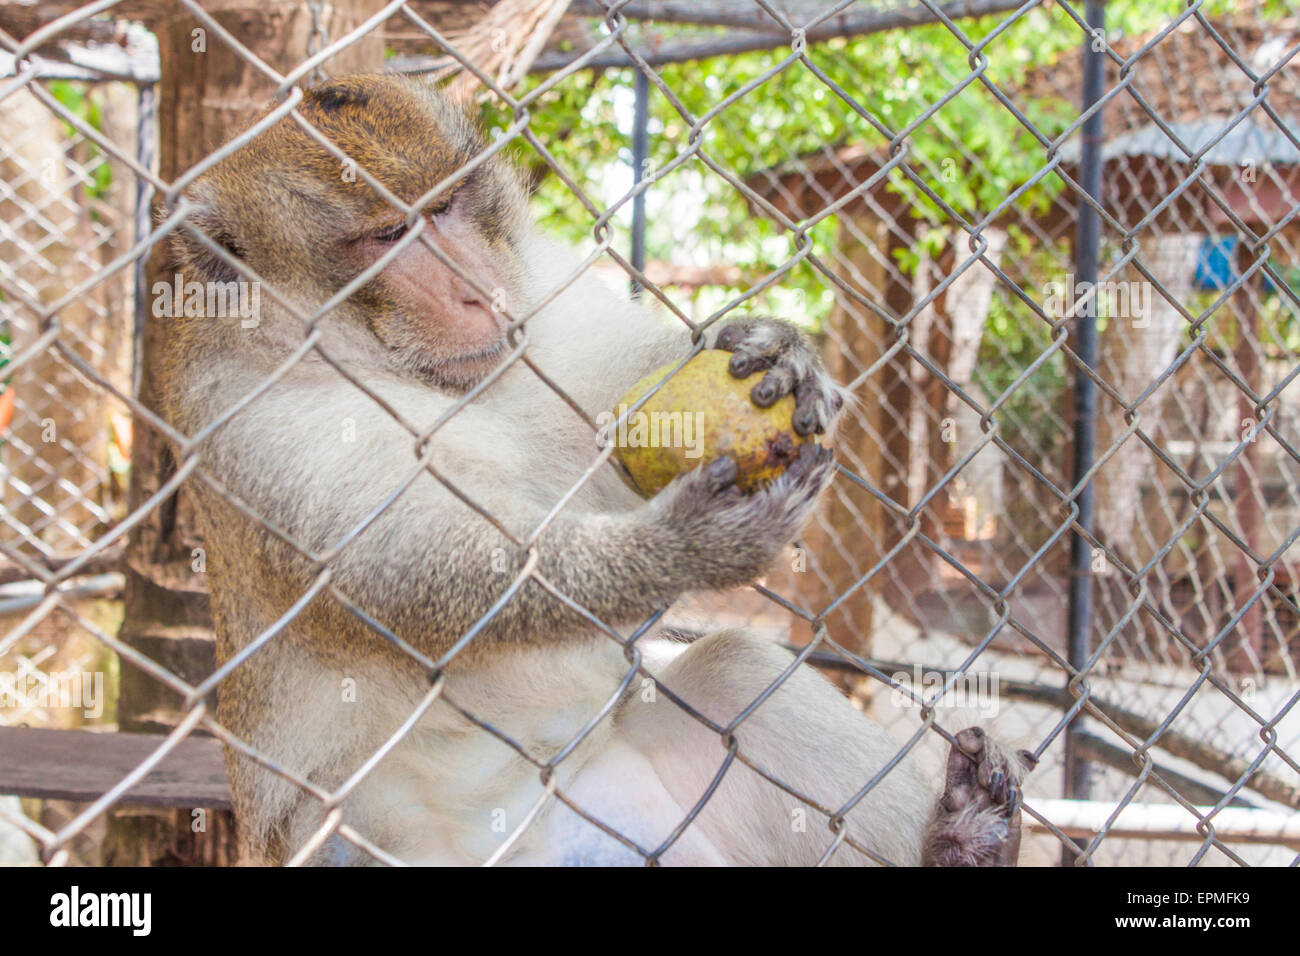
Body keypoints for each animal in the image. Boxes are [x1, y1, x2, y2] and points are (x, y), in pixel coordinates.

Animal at [162, 74, 1029, 868]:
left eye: (446, 208)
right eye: (389, 235)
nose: (477, 291)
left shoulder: (540, 291)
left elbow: (619, 427)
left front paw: (775, 348)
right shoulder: (253, 424)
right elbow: (419, 567)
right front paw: (680, 548)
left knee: (738, 674)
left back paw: (960, 840)